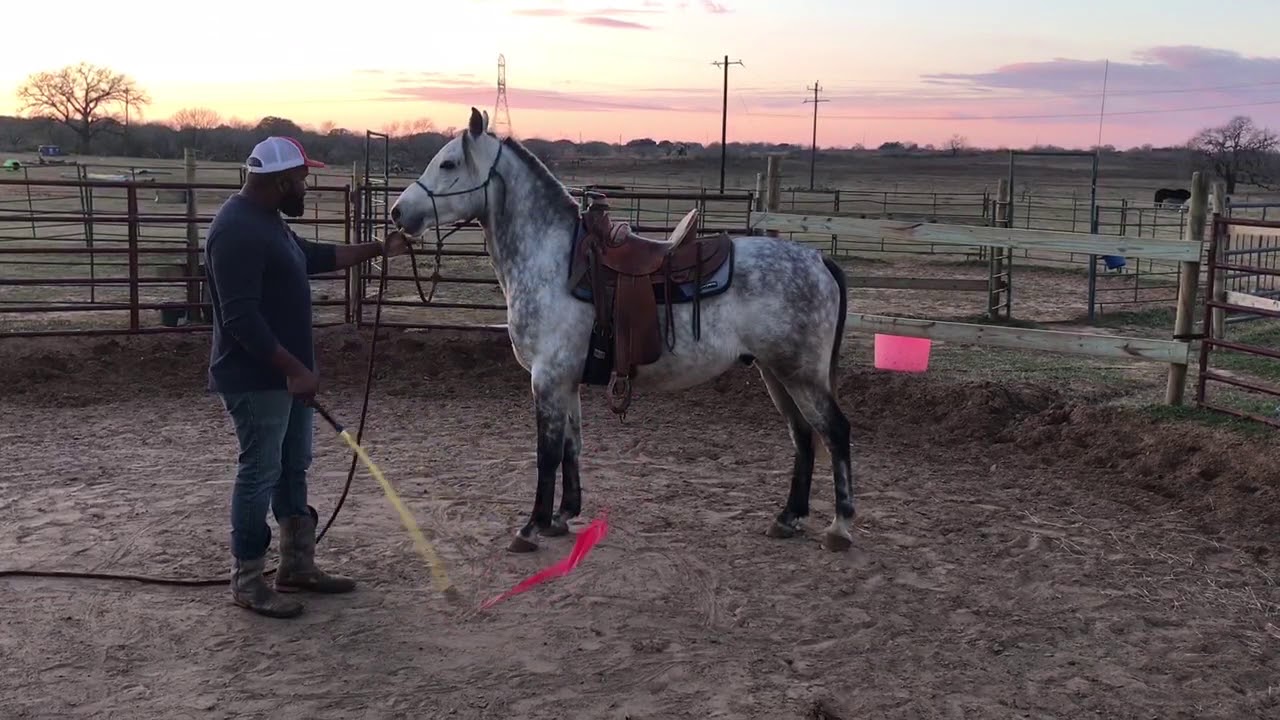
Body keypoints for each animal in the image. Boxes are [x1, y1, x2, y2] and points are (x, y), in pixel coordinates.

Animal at [388, 107, 855, 554]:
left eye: (449, 163)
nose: (397, 212)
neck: (554, 261)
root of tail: (818, 260)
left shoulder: (547, 379)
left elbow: (546, 454)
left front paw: (531, 528)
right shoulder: (566, 381)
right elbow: (571, 447)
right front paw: (562, 516)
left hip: (800, 374)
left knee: (834, 431)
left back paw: (840, 527)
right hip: (775, 372)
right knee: (803, 436)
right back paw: (788, 518)